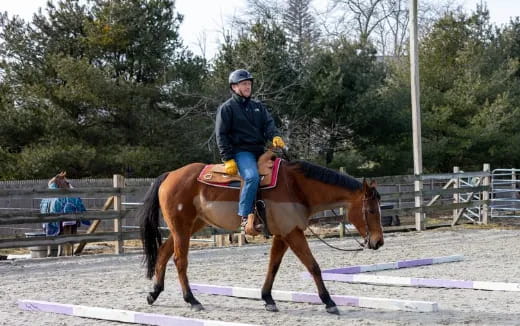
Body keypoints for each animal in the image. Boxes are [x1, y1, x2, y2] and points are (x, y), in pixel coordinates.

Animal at [137, 159, 382, 314]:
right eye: (370, 210)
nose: (378, 241)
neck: (296, 187)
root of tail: (170, 175)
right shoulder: (292, 233)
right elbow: (313, 266)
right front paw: (329, 302)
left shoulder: (283, 234)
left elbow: (273, 265)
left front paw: (268, 298)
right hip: (181, 227)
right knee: (180, 260)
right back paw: (192, 300)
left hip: (190, 226)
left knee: (164, 252)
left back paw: (153, 293)